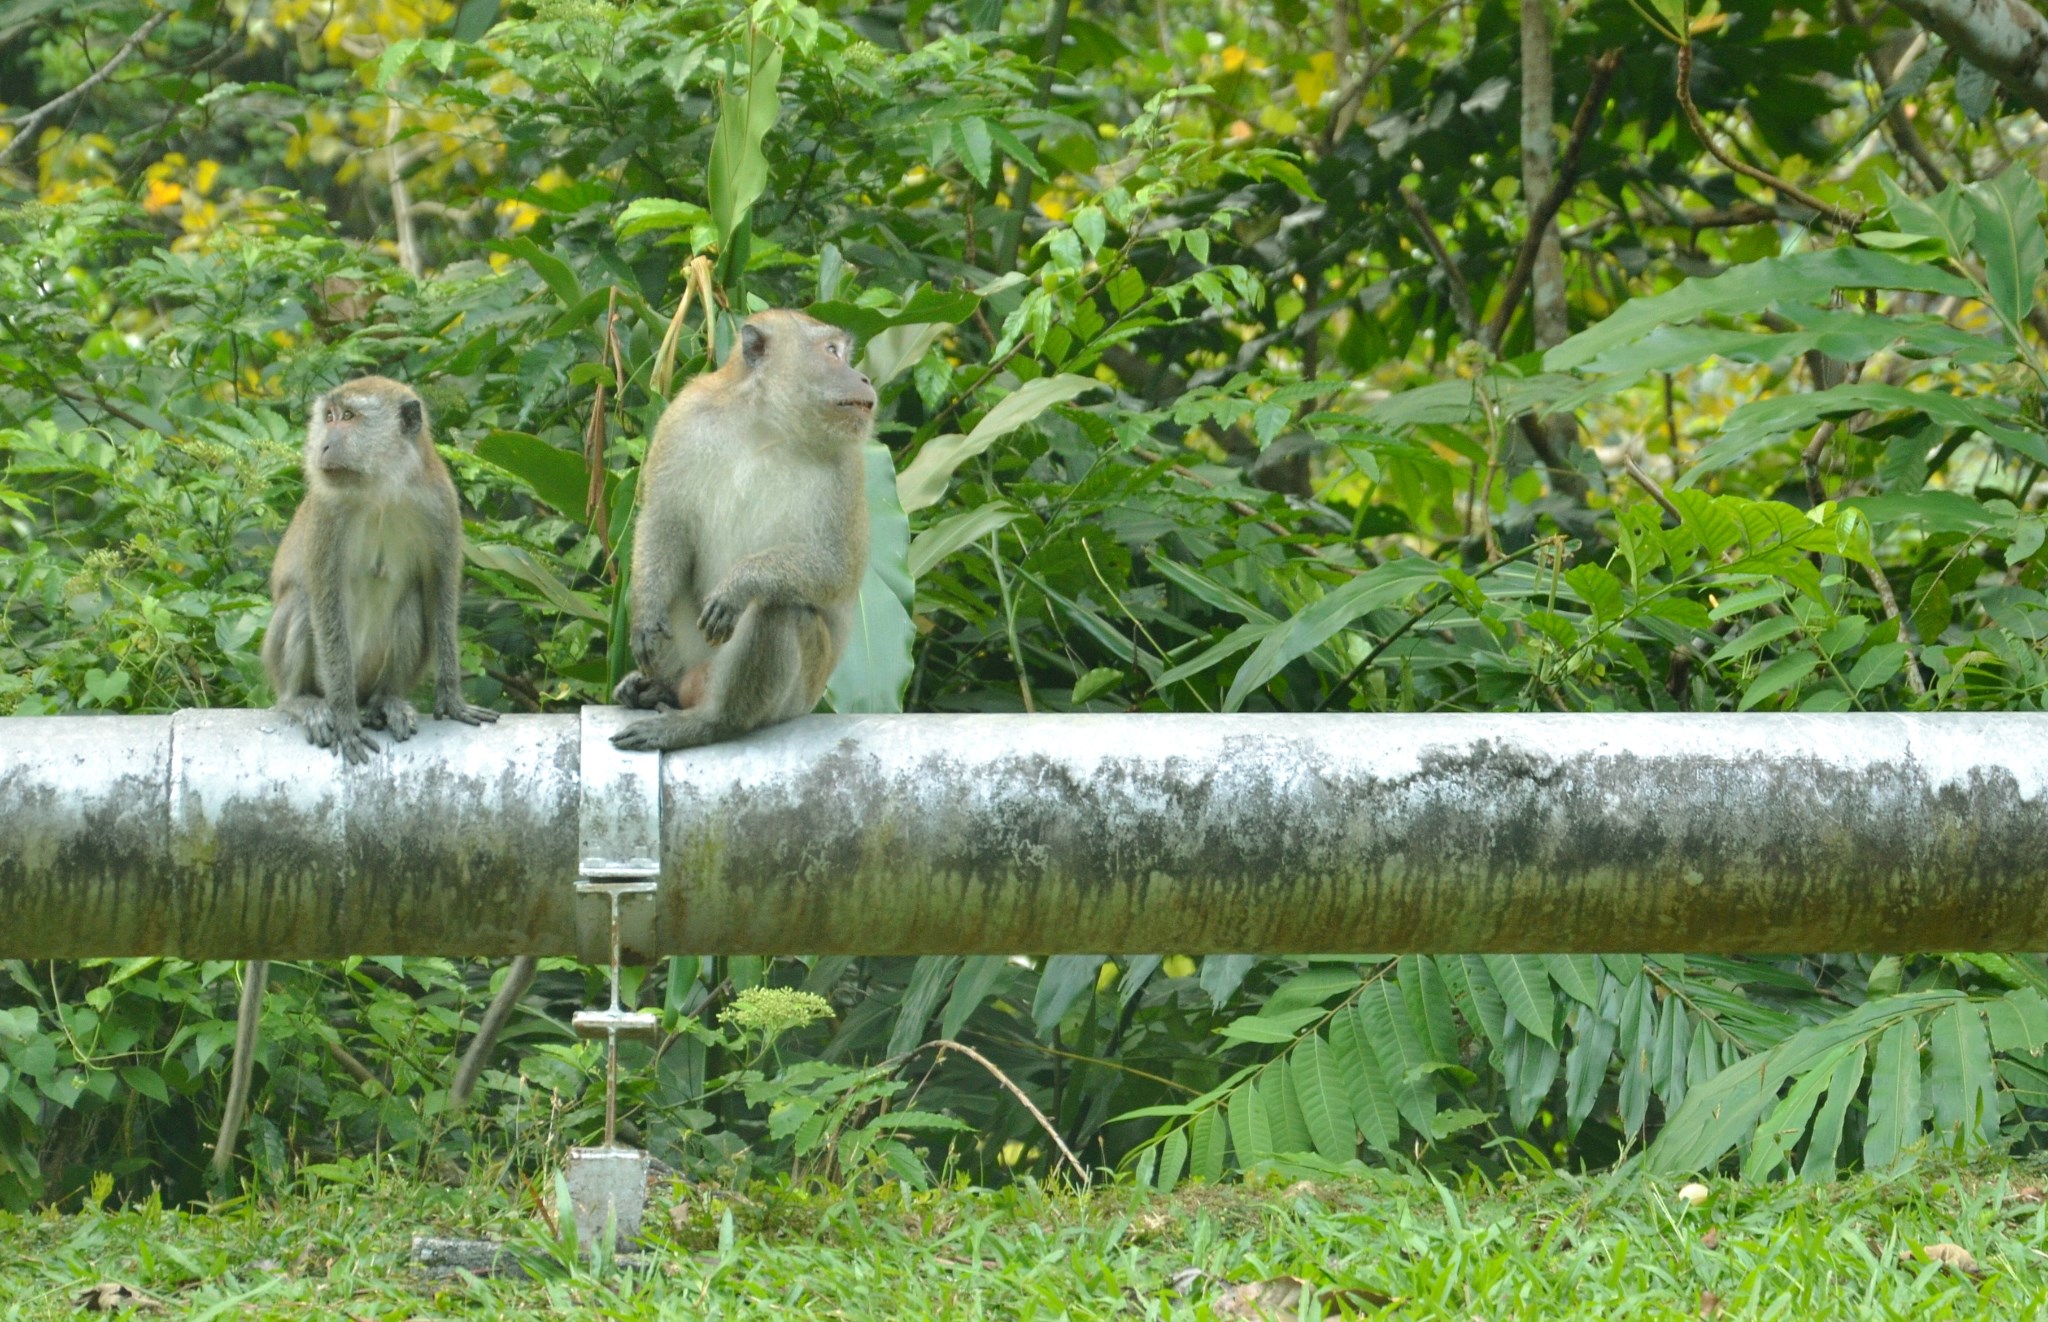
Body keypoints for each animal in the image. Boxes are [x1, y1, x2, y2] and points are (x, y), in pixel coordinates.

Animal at [211, 378, 495, 1186]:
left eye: (347, 418)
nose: (325, 444)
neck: (380, 489)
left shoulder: (440, 505)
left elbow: (442, 592)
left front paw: (450, 698)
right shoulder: (330, 517)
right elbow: (325, 596)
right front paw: (334, 713)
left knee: (411, 606)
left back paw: (387, 701)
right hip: (283, 666)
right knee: (303, 607)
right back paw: (318, 705)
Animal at [602, 304, 868, 753]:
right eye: (832, 351)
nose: (863, 377)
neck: (766, 423)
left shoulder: (850, 461)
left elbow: (839, 568)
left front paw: (741, 583)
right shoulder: (683, 418)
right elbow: (665, 520)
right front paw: (646, 615)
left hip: (795, 696)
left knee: (777, 608)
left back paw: (712, 723)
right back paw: (655, 688)